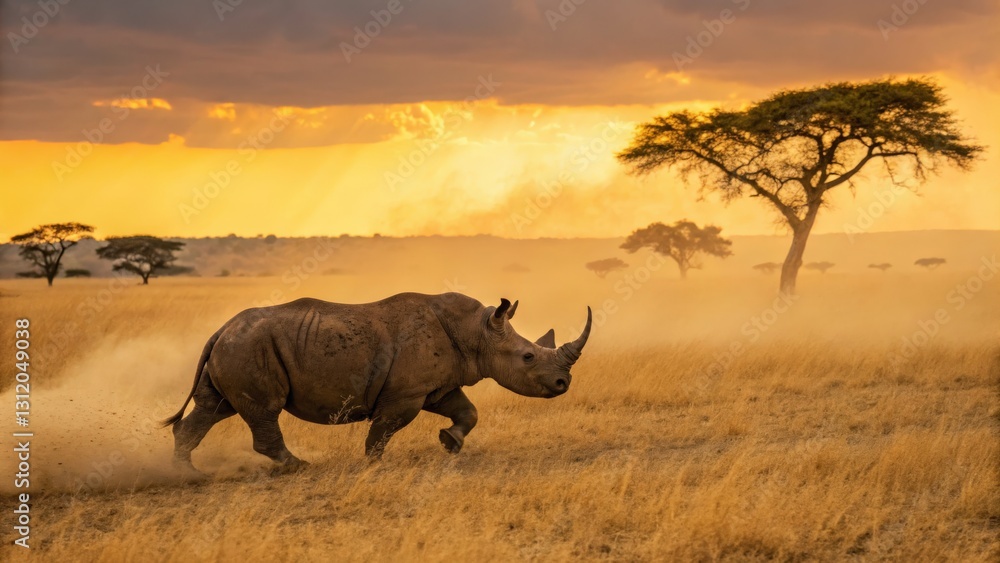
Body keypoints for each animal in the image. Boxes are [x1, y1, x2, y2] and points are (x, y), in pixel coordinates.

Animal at [163, 292, 592, 472]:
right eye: (528, 357)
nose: (563, 383)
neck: (477, 331)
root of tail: (221, 329)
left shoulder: (437, 386)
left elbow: (467, 412)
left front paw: (449, 443)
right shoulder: (405, 394)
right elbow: (384, 430)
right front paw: (373, 465)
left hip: (237, 347)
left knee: (213, 409)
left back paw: (186, 474)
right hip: (248, 347)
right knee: (261, 411)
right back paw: (298, 467)